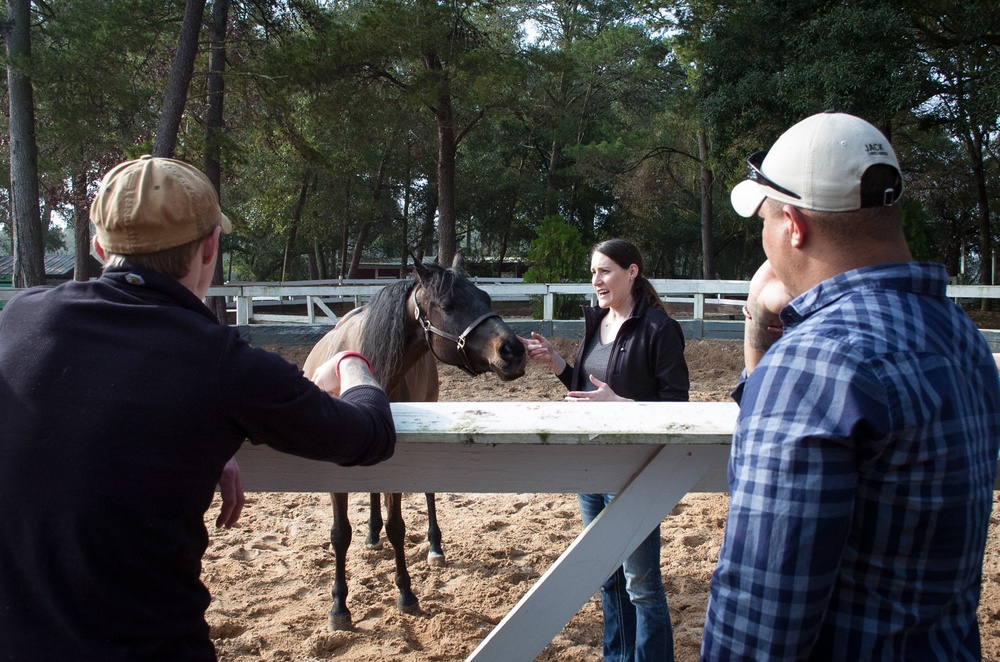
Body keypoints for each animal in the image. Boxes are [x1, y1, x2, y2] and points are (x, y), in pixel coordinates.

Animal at [302, 256, 524, 632]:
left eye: (486, 298)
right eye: (449, 305)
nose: (514, 350)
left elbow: (398, 528)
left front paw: (405, 592)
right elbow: (340, 534)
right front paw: (339, 606)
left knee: (428, 493)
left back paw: (434, 546)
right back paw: (371, 534)